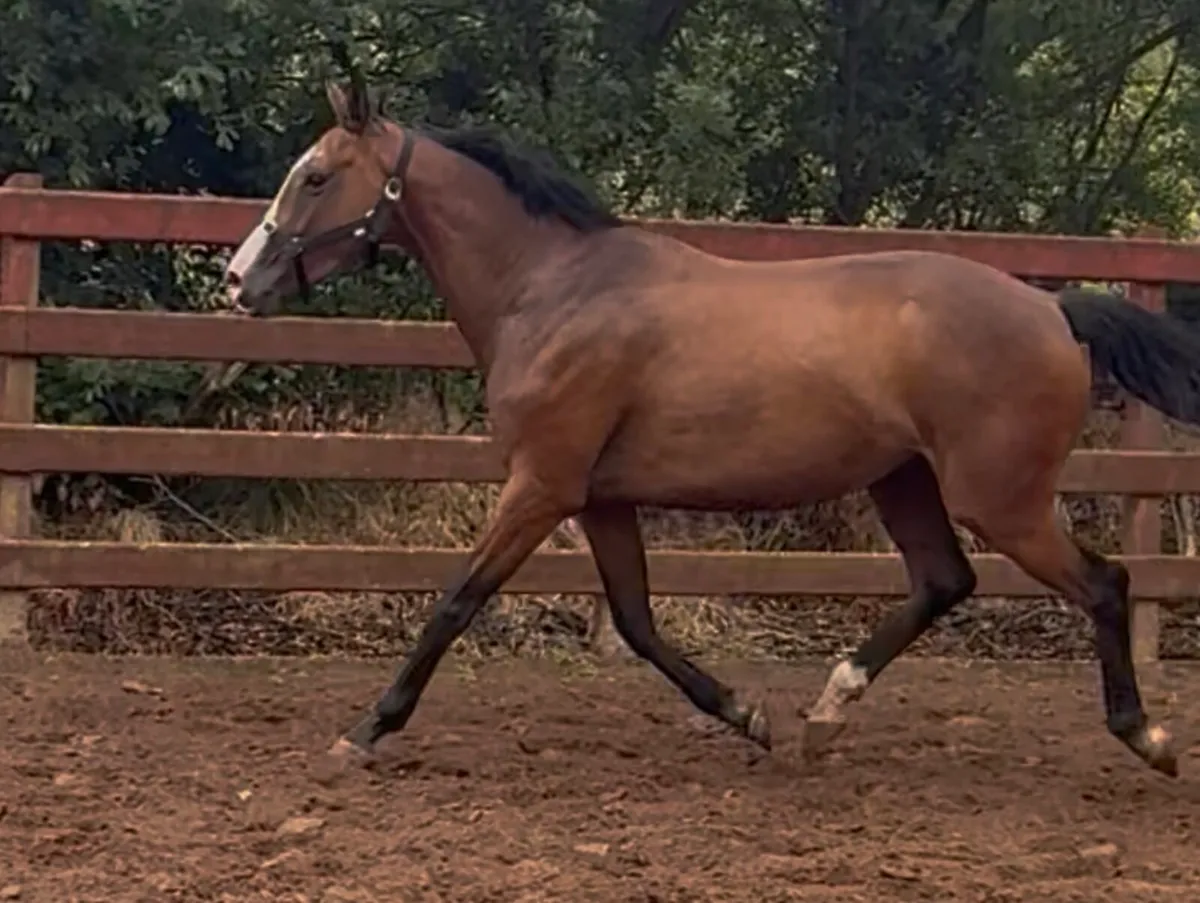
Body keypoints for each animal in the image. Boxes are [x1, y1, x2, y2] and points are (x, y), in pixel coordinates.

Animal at [225, 73, 1197, 781]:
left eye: (315, 176)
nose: (238, 281)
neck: (550, 290)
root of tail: (1054, 310)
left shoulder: (540, 485)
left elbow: (457, 600)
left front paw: (362, 730)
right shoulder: (597, 497)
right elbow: (635, 621)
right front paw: (749, 715)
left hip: (1001, 497)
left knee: (1103, 582)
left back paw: (1147, 739)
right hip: (905, 479)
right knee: (944, 581)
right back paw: (822, 717)